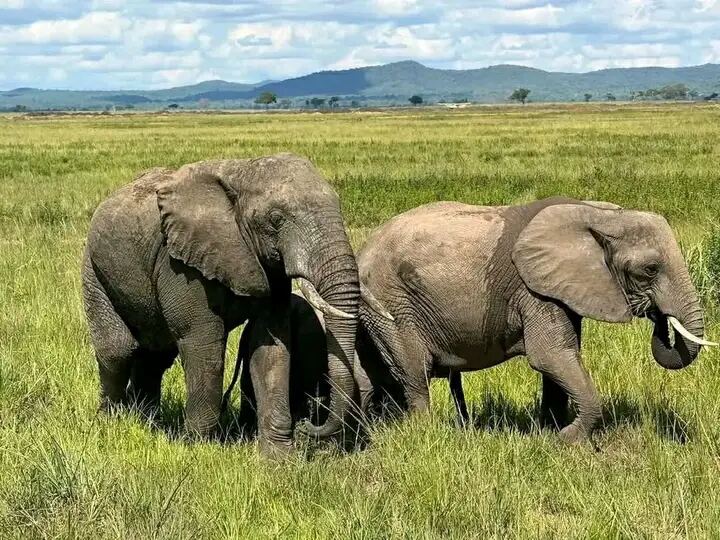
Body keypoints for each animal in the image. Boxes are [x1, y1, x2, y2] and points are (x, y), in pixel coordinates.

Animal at [82, 153, 373, 455]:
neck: (243, 171)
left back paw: (146, 420)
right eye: (276, 219)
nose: (308, 426)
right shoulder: (181, 264)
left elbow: (270, 347)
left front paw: (279, 457)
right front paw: (200, 450)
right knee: (118, 350)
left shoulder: (271, 269)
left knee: (155, 357)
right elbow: (203, 343)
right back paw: (112, 421)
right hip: (95, 269)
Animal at [356, 196, 716, 443]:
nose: (659, 318)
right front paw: (568, 440)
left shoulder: (560, 288)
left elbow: (562, 360)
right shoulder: (532, 290)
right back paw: (426, 435)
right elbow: (551, 357)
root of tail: (362, 251)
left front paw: (551, 431)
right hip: (390, 300)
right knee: (414, 372)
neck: (599, 214)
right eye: (650, 270)